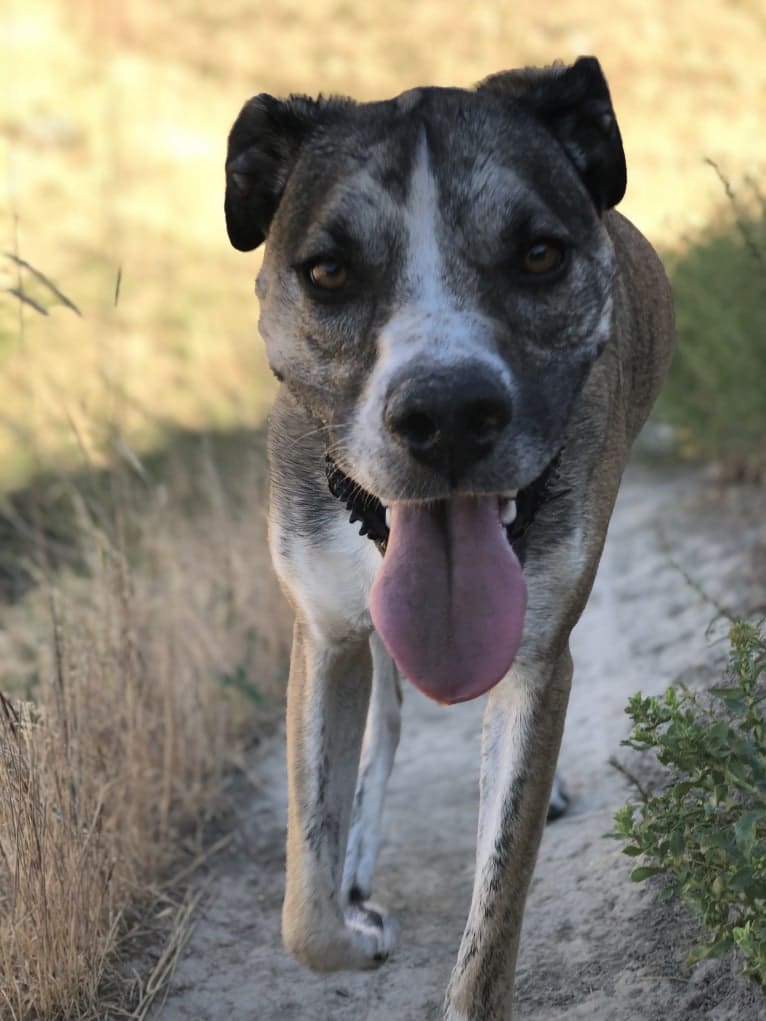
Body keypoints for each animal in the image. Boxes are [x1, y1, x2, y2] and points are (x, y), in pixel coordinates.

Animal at [224, 57, 674, 1021]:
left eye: (539, 254)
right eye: (328, 271)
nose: (450, 415)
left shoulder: (540, 653)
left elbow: (494, 914)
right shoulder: (325, 632)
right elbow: (303, 905)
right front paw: (352, 922)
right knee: (387, 719)